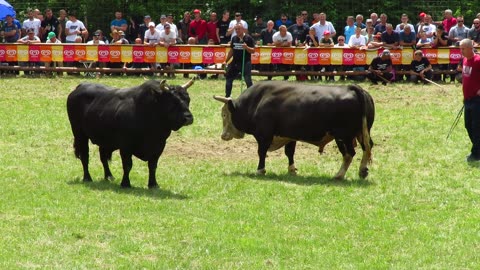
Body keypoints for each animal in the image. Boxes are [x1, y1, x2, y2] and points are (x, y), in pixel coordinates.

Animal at [66, 78, 194, 188]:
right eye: (173, 101)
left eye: (188, 100)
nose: (188, 118)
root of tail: (80, 86)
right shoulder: (126, 146)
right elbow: (127, 165)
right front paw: (125, 183)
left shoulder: (159, 146)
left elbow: (152, 166)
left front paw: (153, 184)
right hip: (80, 135)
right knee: (85, 156)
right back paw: (87, 178)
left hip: (104, 139)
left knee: (103, 157)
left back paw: (109, 176)